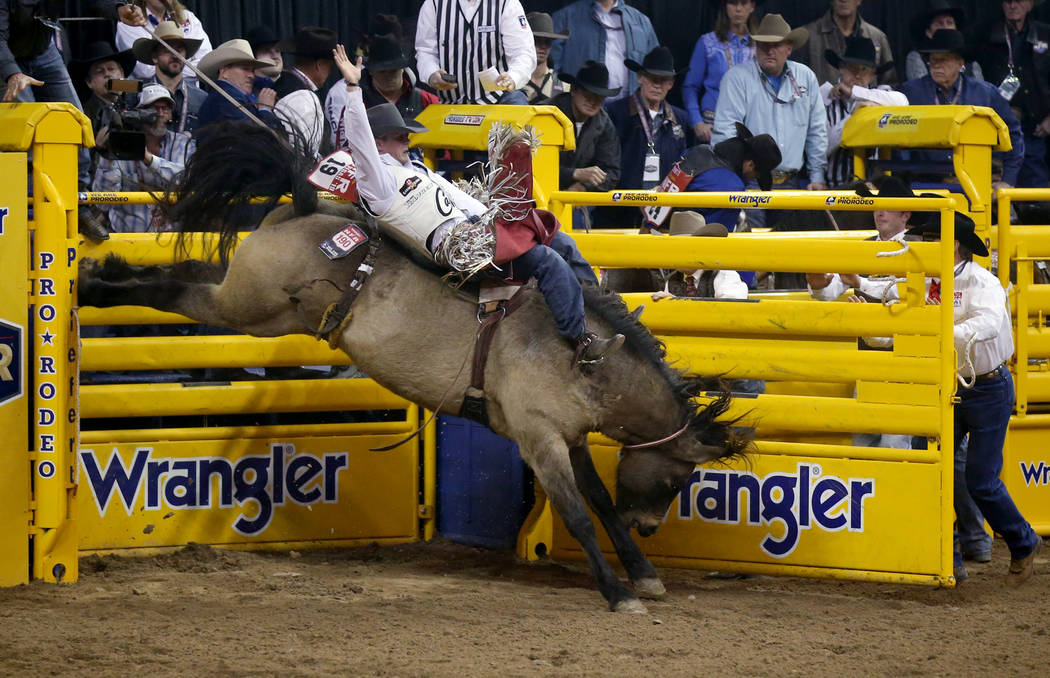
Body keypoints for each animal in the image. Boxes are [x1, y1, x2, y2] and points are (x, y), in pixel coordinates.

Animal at [77, 122, 751, 617]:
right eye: (678, 478)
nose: (653, 527)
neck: (586, 362)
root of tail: (306, 203)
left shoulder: (572, 437)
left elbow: (602, 504)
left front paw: (643, 574)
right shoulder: (539, 439)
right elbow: (582, 516)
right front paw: (618, 593)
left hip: (254, 299)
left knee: (182, 277)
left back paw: (103, 272)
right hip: (248, 306)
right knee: (176, 292)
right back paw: (92, 285)